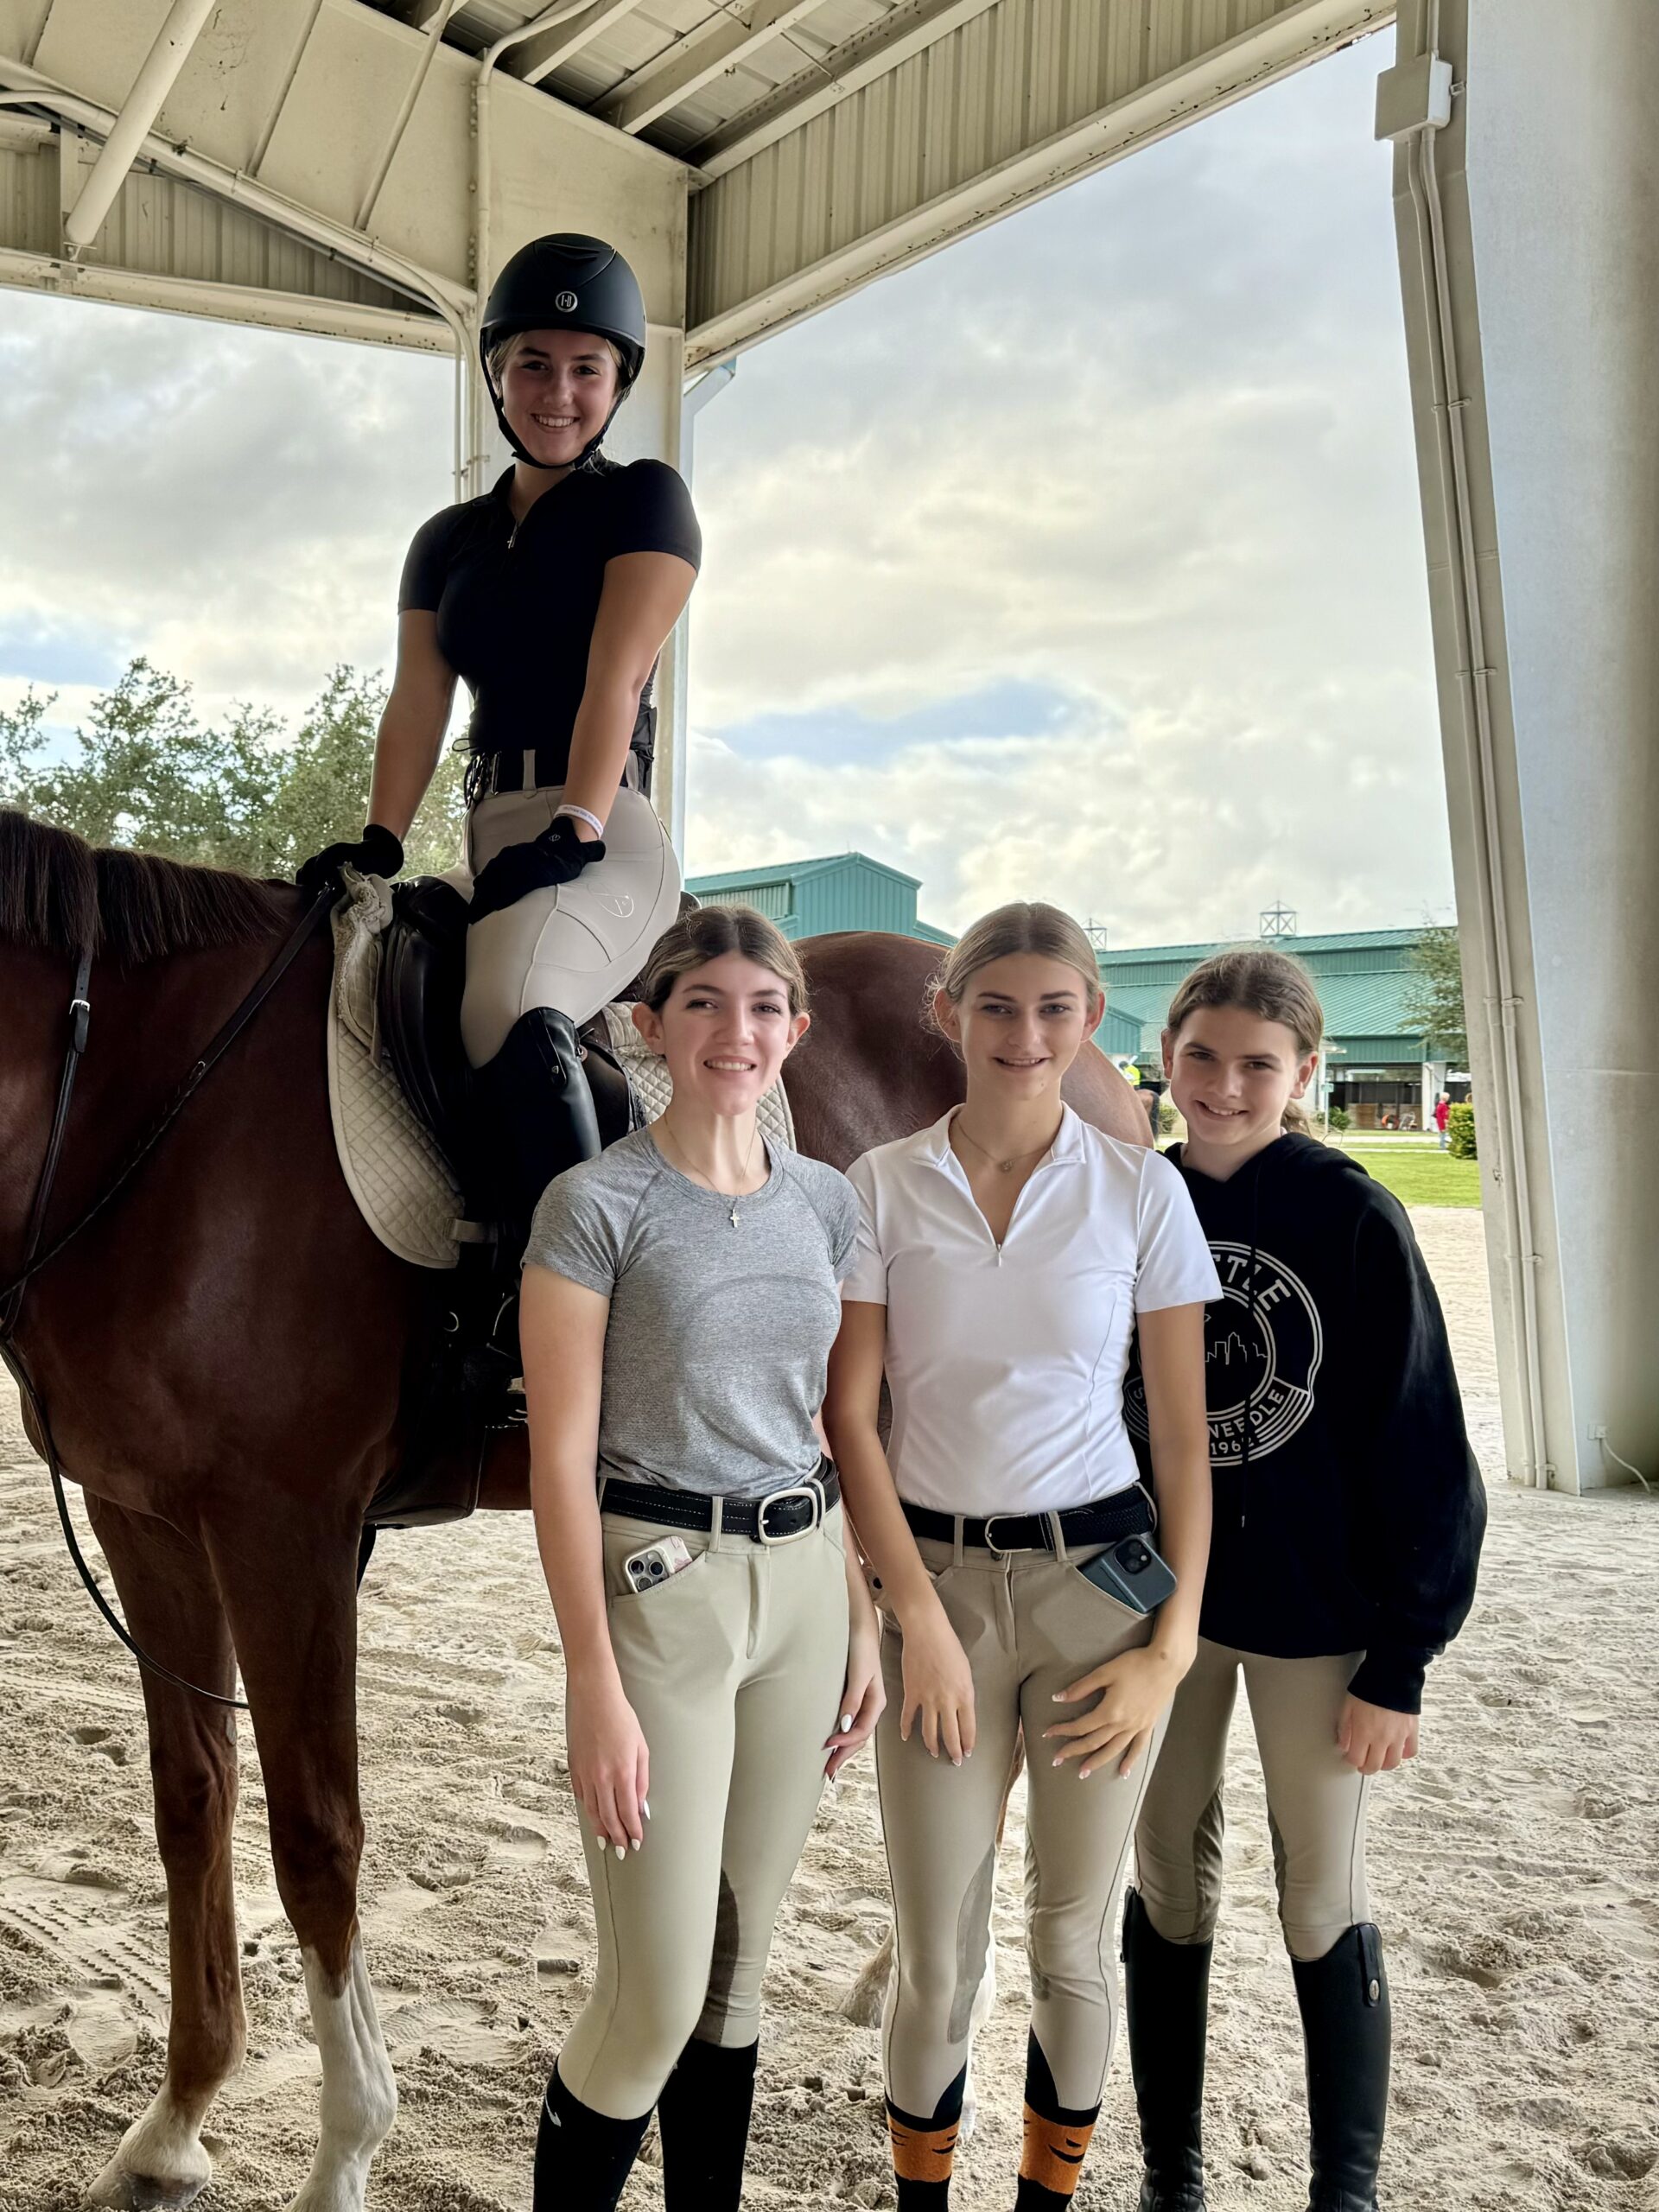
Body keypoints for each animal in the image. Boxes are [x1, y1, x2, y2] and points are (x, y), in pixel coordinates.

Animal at [0, 808, 1148, 2211]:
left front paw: (344, 2152)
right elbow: (191, 1805)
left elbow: (317, 1841)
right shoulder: (147, 1518)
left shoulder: (286, 1531)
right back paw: (901, 1970)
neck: (141, 1095)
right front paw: (174, 2123)